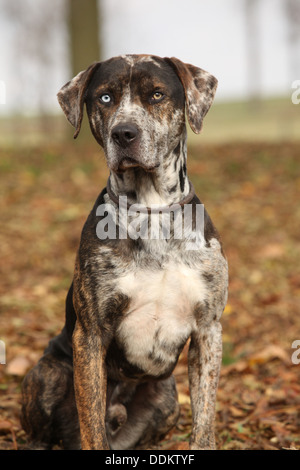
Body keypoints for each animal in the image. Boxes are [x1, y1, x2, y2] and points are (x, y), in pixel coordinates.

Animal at [20, 53, 227, 450]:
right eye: (105, 97)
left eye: (157, 95)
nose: (124, 133)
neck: (152, 210)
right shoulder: (91, 335)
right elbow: (92, 423)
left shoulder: (208, 330)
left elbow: (205, 420)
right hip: (46, 374)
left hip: (167, 396)